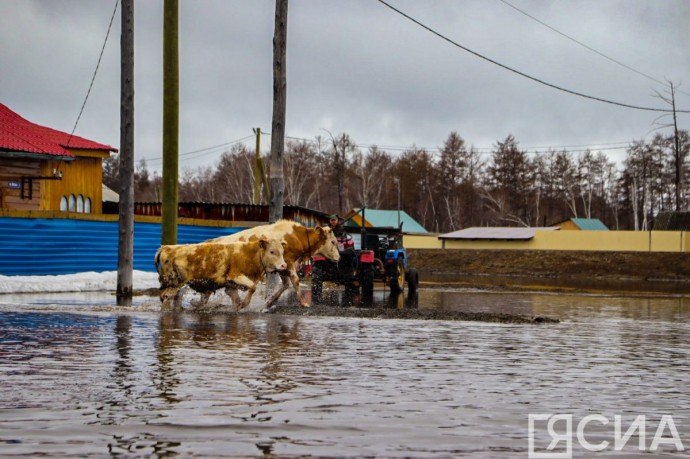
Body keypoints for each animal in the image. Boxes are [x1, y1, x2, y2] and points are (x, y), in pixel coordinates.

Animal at [155, 239, 286, 310]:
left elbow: (235, 300)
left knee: (173, 297)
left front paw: (238, 306)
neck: (248, 255)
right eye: (272, 251)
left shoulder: (231, 285)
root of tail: (166, 247)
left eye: (282, 251)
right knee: (166, 296)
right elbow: (252, 287)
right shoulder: (235, 275)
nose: (283, 265)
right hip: (175, 281)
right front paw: (244, 304)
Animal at [210, 220, 338, 310]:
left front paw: (270, 302)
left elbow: (286, 284)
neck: (296, 237)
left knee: (229, 290)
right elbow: (295, 281)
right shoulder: (289, 262)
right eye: (333, 242)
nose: (339, 257)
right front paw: (304, 303)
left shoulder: (282, 266)